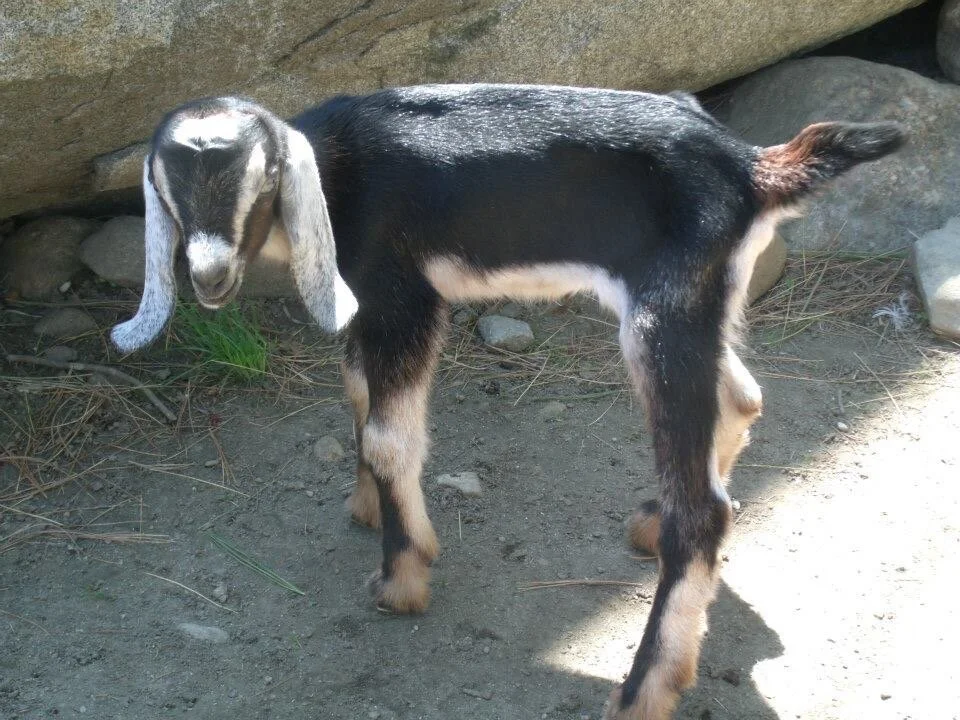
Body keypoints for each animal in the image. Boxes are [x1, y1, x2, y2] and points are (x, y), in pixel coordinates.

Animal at [112, 84, 903, 719]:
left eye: (266, 176)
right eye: (166, 187)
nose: (209, 275)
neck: (338, 170)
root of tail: (751, 166)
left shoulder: (402, 295)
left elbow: (388, 438)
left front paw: (402, 576)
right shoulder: (366, 302)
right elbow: (358, 393)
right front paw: (367, 508)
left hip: (664, 313)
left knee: (704, 510)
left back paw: (644, 688)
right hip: (696, 306)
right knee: (739, 400)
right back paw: (653, 528)